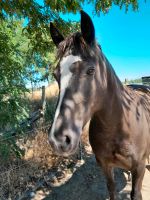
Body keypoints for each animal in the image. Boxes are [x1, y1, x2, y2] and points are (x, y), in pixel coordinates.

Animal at [48, 10, 150, 200]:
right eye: (56, 74)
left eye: (91, 70)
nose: (58, 140)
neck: (121, 125)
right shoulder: (105, 166)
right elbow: (111, 189)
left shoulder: (138, 169)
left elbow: (136, 193)